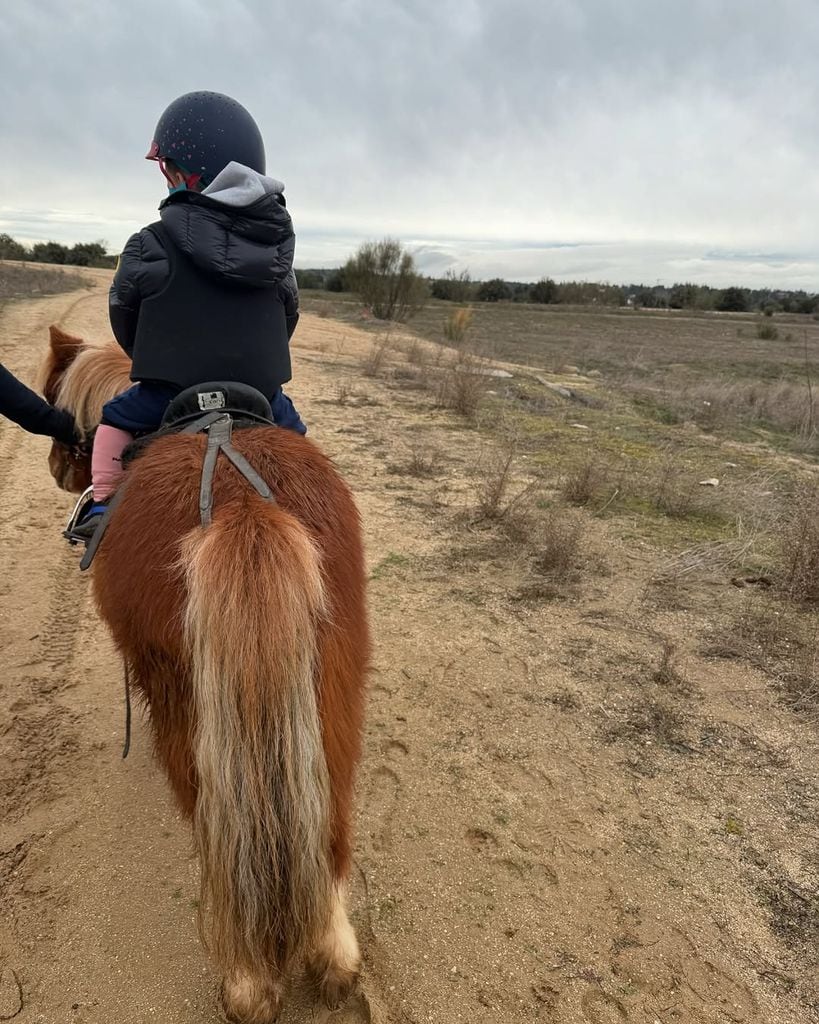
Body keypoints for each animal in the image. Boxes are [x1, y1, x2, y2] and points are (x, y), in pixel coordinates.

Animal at [38, 325, 368, 1024]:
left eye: (55, 399)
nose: (57, 469)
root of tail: (243, 507)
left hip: (187, 704)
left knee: (211, 818)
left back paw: (247, 984)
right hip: (331, 683)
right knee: (329, 818)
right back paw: (334, 957)